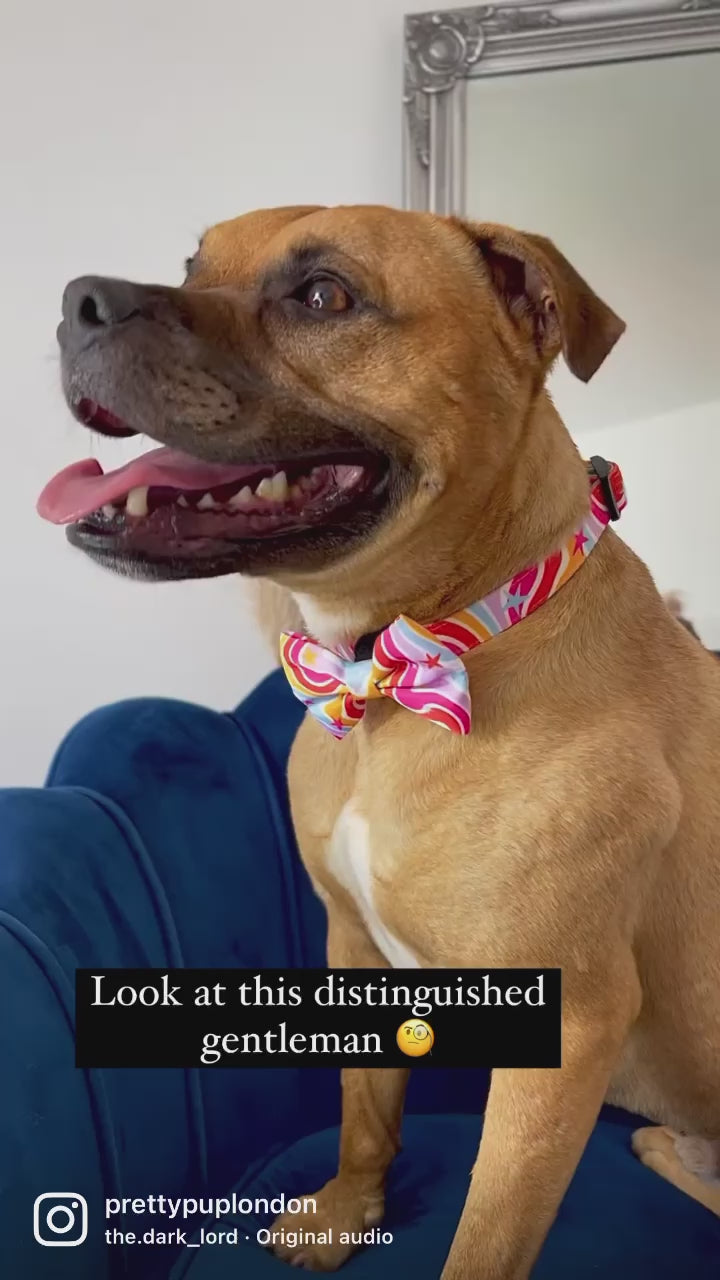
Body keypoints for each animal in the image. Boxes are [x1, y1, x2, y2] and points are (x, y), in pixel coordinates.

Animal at [40, 207, 717, 1280]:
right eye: (193, 262)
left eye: (325, 295)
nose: (79, 302)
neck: (400, 670)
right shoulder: (351, 941)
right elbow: (365, 1111)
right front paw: (343, 1215)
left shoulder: (570, 1030)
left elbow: (486, 1237)